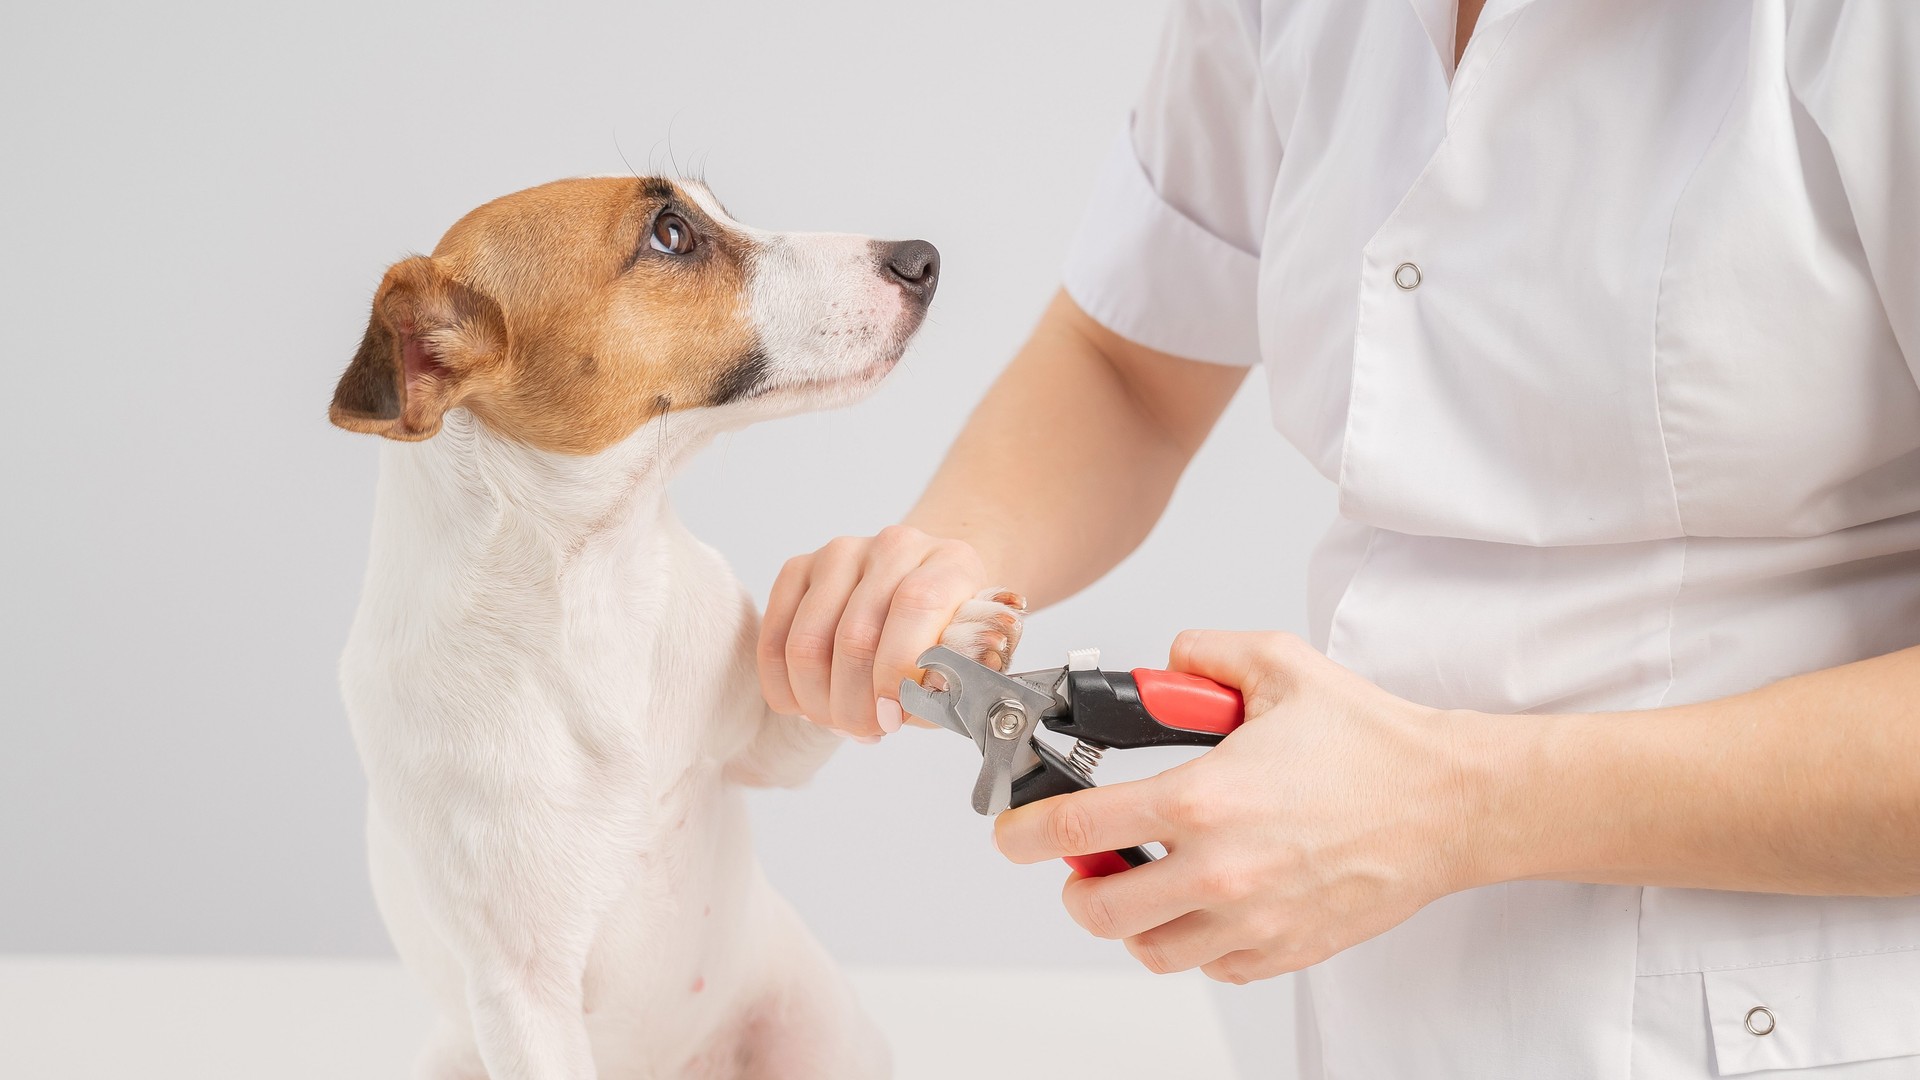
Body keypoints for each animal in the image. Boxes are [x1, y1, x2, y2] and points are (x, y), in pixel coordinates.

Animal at [332, 178, 1029, 1076]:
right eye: (670, 234)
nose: (922, 258)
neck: (593, 595)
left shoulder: (765, 744)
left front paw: (939, 630)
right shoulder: (523, 996)